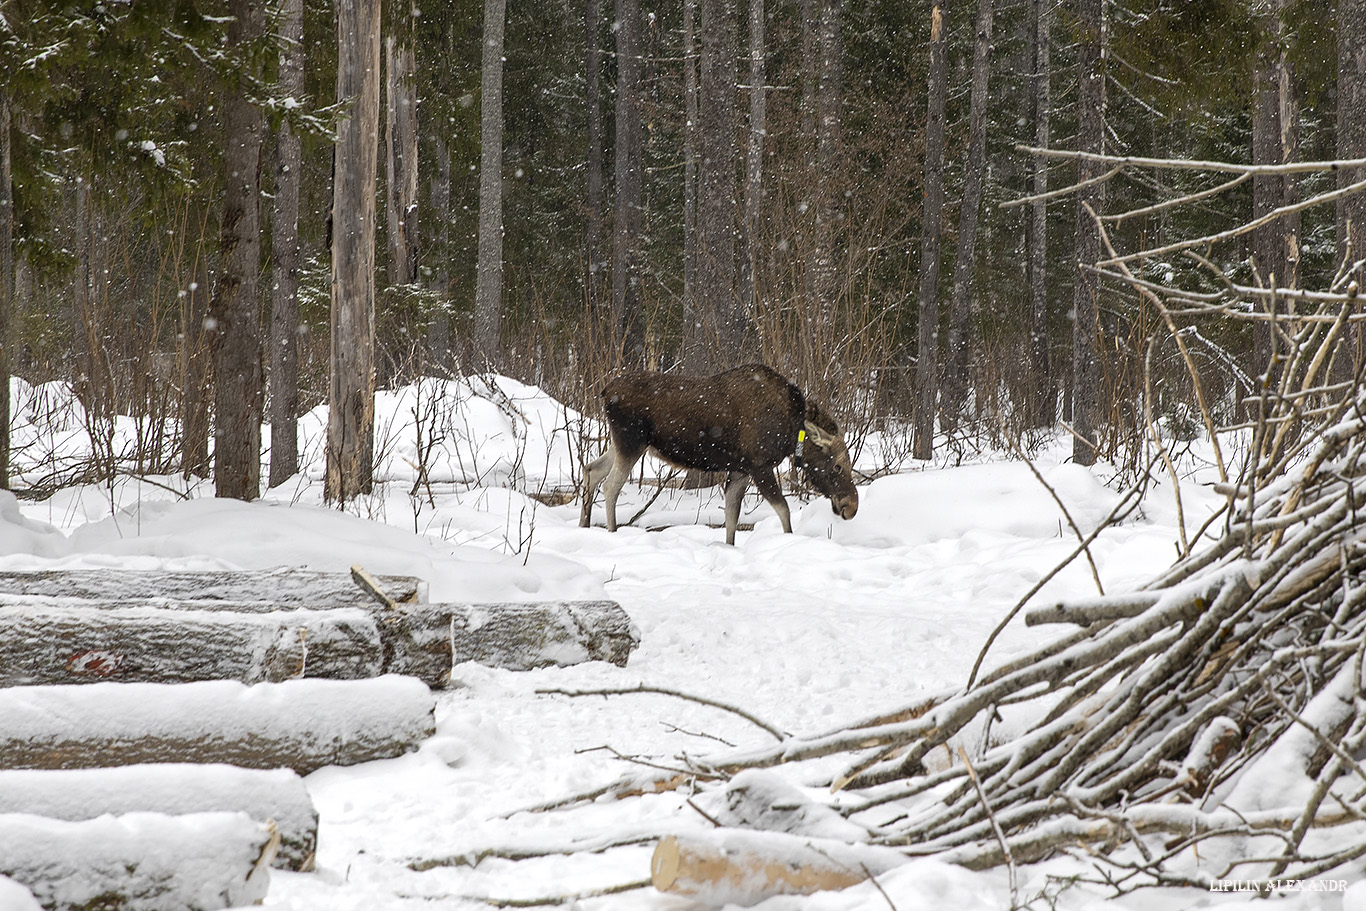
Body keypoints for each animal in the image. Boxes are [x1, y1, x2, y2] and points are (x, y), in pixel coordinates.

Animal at [579, 363, 857, 546]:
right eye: (837, 466)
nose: (851, 507)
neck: (790, 433)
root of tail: (605, 391)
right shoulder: (760, 466)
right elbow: (784, 511)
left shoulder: (740, 470)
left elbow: (731, 518)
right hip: (631, 443)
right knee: (610, 486)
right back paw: (612, 533)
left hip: (623, 444)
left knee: (592, 469)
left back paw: (584, 525)